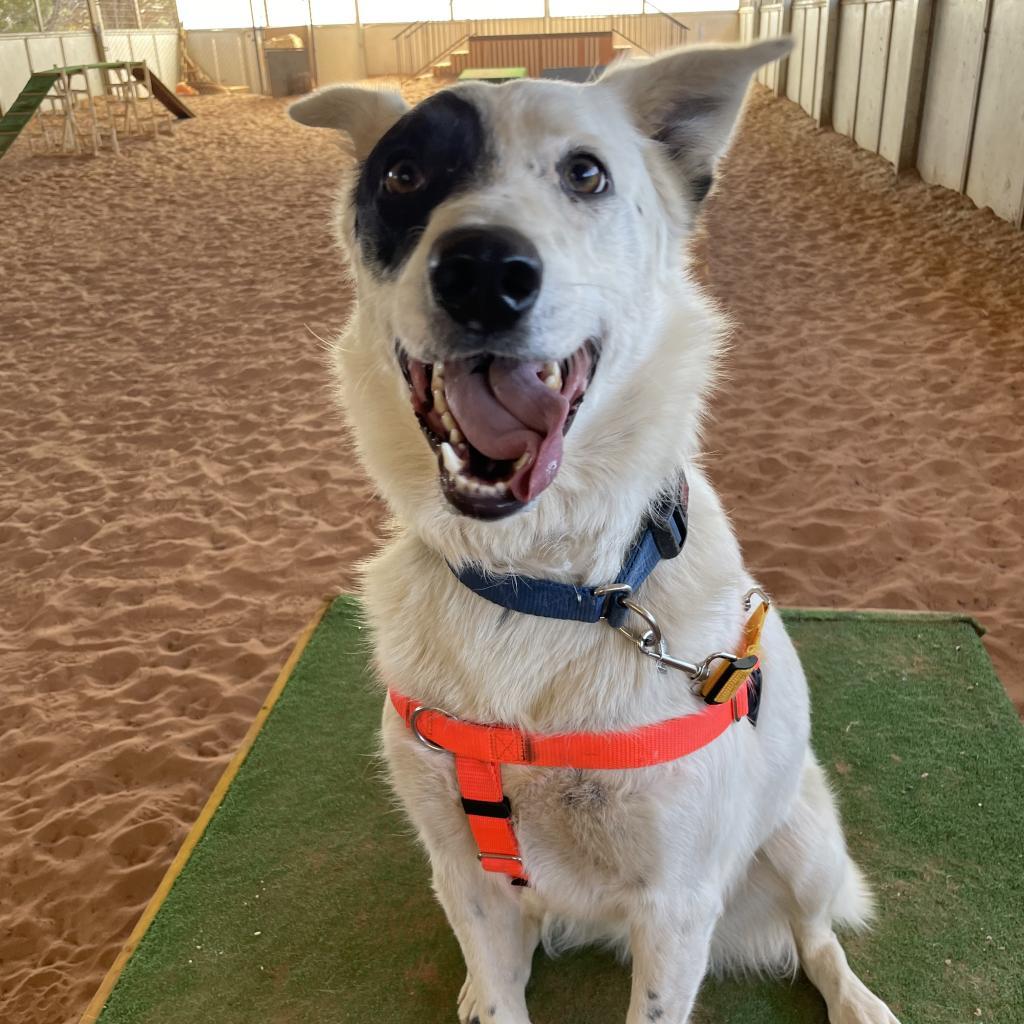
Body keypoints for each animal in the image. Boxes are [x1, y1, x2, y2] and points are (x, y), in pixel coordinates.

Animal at [292, 39, 901, 1024]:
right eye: (403, 173)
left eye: (586, 173)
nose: (481, 270)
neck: (540, 587)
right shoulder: (462, 869)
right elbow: (500, 975)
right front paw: (489, 988)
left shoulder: (676, 905)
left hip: (806, 840)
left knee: (816, 935)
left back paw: (854, 997)